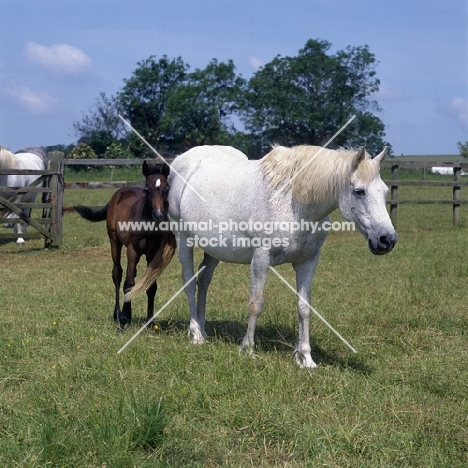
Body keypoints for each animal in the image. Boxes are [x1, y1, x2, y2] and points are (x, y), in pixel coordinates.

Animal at [126, 144, 396, 368]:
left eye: (384, 191)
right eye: (359, 191)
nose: (387, 240)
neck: (293, 202)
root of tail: (180, 163)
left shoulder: (308, 262)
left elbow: (304, 308)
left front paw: (305, 359)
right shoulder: (261, 259)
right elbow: (256, 304)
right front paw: (247, 349)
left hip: (213, 249)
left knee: (204, 282)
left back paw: (204, 330)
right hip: (183, 240)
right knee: (190, 284)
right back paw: (195, 335)